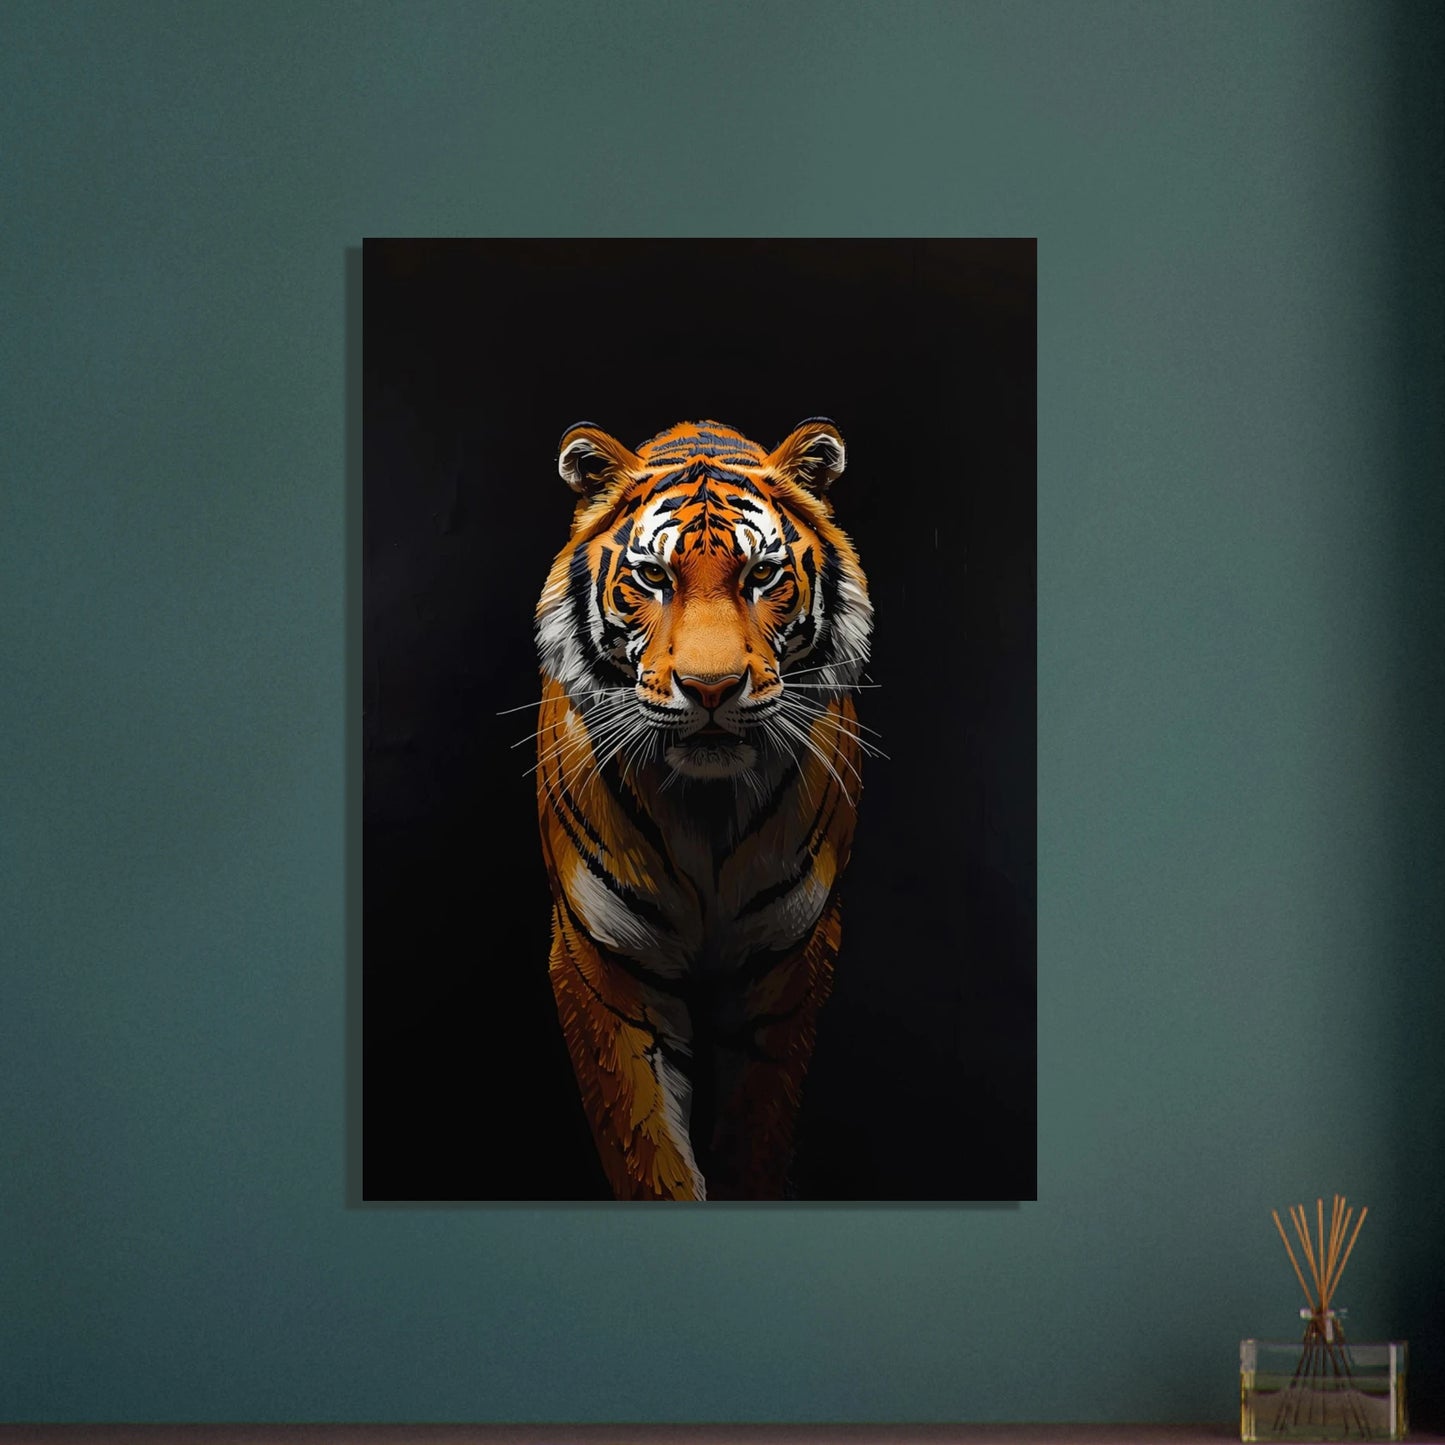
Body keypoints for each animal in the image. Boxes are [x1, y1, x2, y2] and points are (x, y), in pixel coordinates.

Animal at [533, 418, 873, 1201]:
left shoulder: (791, 960)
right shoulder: (605, 964)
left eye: (762, 576)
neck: (706, 811)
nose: (711, 688)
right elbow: (647, 1150)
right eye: (654, 578)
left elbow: (758, 1132)